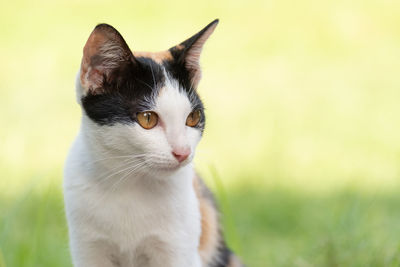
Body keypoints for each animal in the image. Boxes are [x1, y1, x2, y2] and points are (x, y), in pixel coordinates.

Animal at [64, 19, 242, 267]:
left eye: (193, 117)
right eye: (147, 119)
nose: (182, 152)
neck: (128, 185)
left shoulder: (179, 250)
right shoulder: (88, 249)